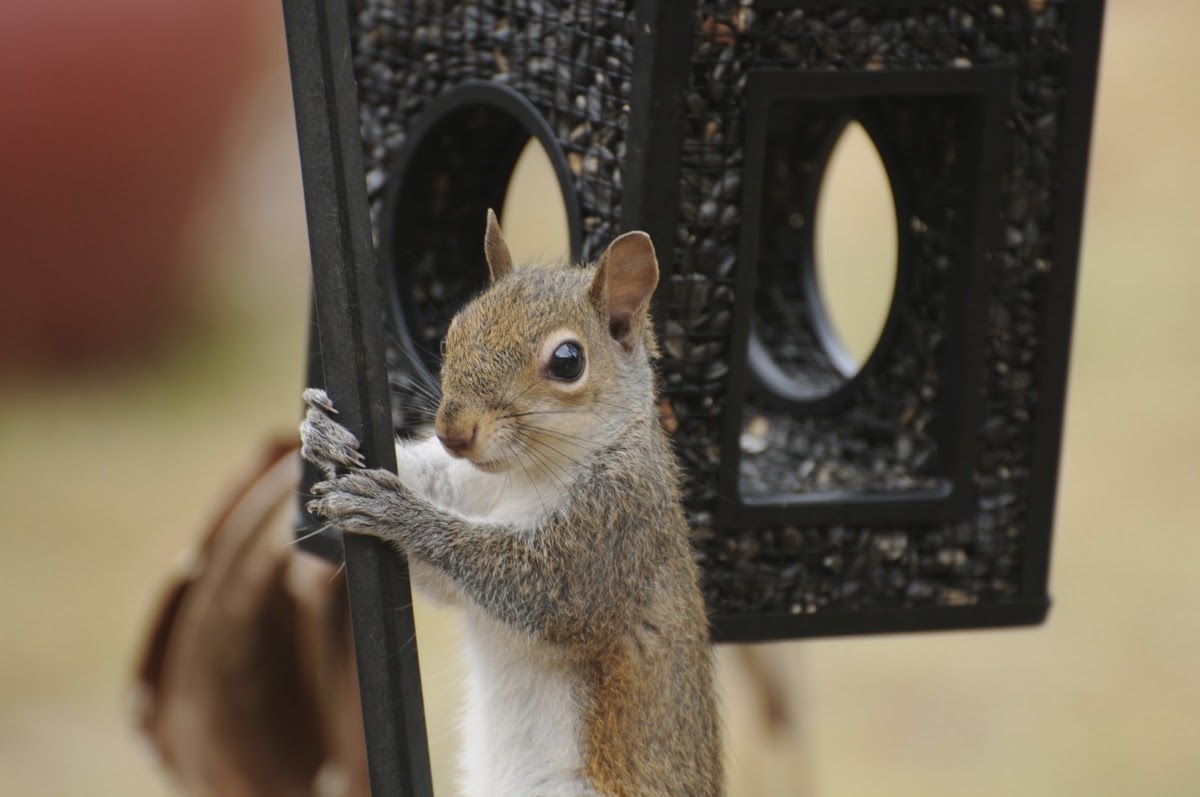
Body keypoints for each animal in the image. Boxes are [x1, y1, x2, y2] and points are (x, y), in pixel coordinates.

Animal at [300, 210, 721, 797]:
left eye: (568, 361)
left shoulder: (615, 525)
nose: (453, 432)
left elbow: (538, 588)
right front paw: (321, 433)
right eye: (453, 332)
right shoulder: (466, 484)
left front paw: (395, 511)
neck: (522, 475)